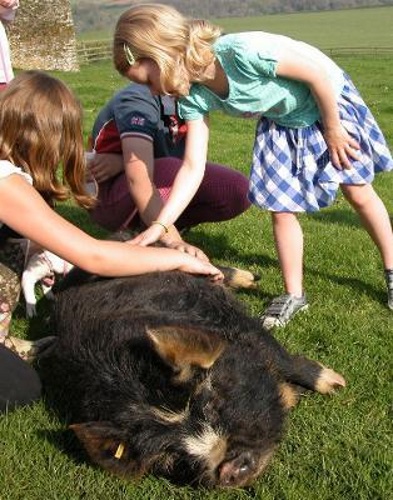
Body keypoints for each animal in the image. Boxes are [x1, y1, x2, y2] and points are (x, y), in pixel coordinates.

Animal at [41, 268, 344, 490]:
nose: (227, 468)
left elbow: (279, 356)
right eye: (172, 451)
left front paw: (336, 385)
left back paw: (250, 279)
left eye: (210, 402)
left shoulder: (230, 319)